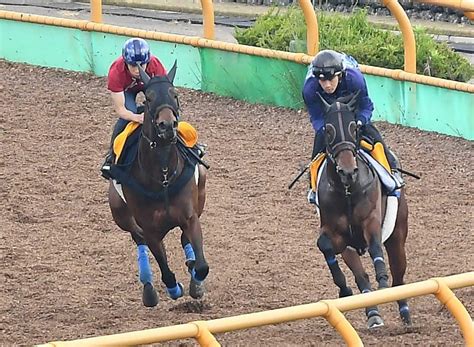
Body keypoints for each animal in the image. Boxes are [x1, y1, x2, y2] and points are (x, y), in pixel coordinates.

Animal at [110, 61, 210, 308]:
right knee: (138, 240)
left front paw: (196, 280)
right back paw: (148, 288)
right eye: (148, 98)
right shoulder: (150, 230)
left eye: (175, 94)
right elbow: (165, 270)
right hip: (120, 214)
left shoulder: (189, 216)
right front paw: (174, 289)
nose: (167, 126)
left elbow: (202, 265)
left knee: (185, 239)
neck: (162, 177)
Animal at [312, 92, 410, 328]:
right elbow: (325, 245)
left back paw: (404, 312)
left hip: (397, 234)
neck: (347, 190)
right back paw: (373, 313)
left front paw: (382, 279)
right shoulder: (336, 233)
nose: (348, 171)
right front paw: (344, 289)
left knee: (399, 275)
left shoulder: (371, 220)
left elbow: (375, 247)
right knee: (361, 277)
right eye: (328, 130)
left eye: (353, 128)